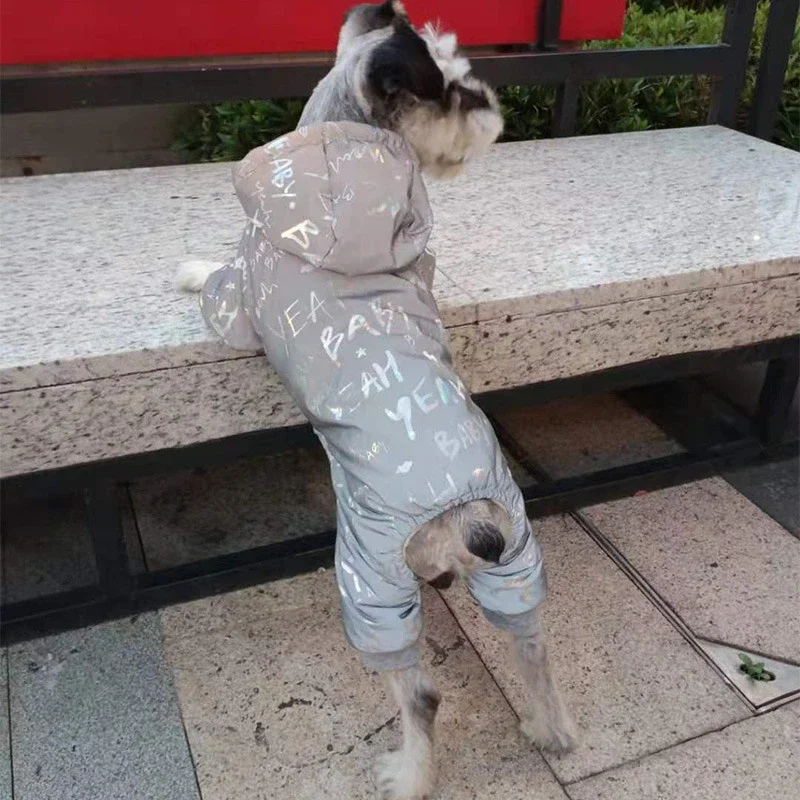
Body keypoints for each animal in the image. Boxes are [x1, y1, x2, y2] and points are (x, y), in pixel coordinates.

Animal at [179, 4, 575, 799]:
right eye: (451, 87)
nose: (491, 104)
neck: (344, 162)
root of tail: (465, 517)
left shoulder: (239, 296)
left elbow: (216, 283)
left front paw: (189, 268)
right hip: (518, 561)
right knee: (535, 649)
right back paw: (551, 732)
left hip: (370, 579)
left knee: (420, 693)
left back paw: (408, 774)